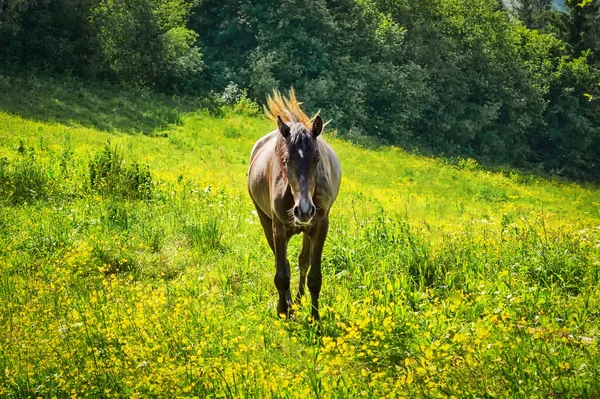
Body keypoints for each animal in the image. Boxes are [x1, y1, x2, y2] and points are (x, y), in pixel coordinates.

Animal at [248, 90, 342, 322]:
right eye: (286, 159)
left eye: (317, 159)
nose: (304, 210)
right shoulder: (278, 230)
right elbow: (281, 274)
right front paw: (283, 309)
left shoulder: (319, 228)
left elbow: (314, 276)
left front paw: (315, 318)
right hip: (266, 223)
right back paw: (290, 303)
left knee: (302, 262)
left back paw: (298, 301)